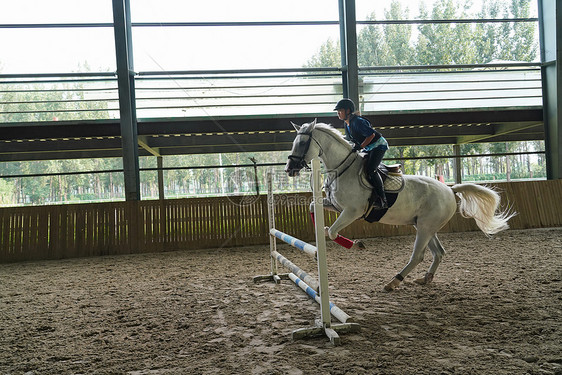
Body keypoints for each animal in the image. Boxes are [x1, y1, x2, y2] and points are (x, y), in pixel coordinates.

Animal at [284, 119, 512, 292]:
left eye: (302, 143)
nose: (289, 169)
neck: (342, 169)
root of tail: (450, 189)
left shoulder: (351, 211)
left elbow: (331, 232)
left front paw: (356, 244)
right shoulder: (335, 206)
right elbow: (313, 206)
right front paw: (319, 228)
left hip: (425, 227)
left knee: (418, 256)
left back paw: (393, 282)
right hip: (424, 226)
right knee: (438, 252)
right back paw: (425, 278)